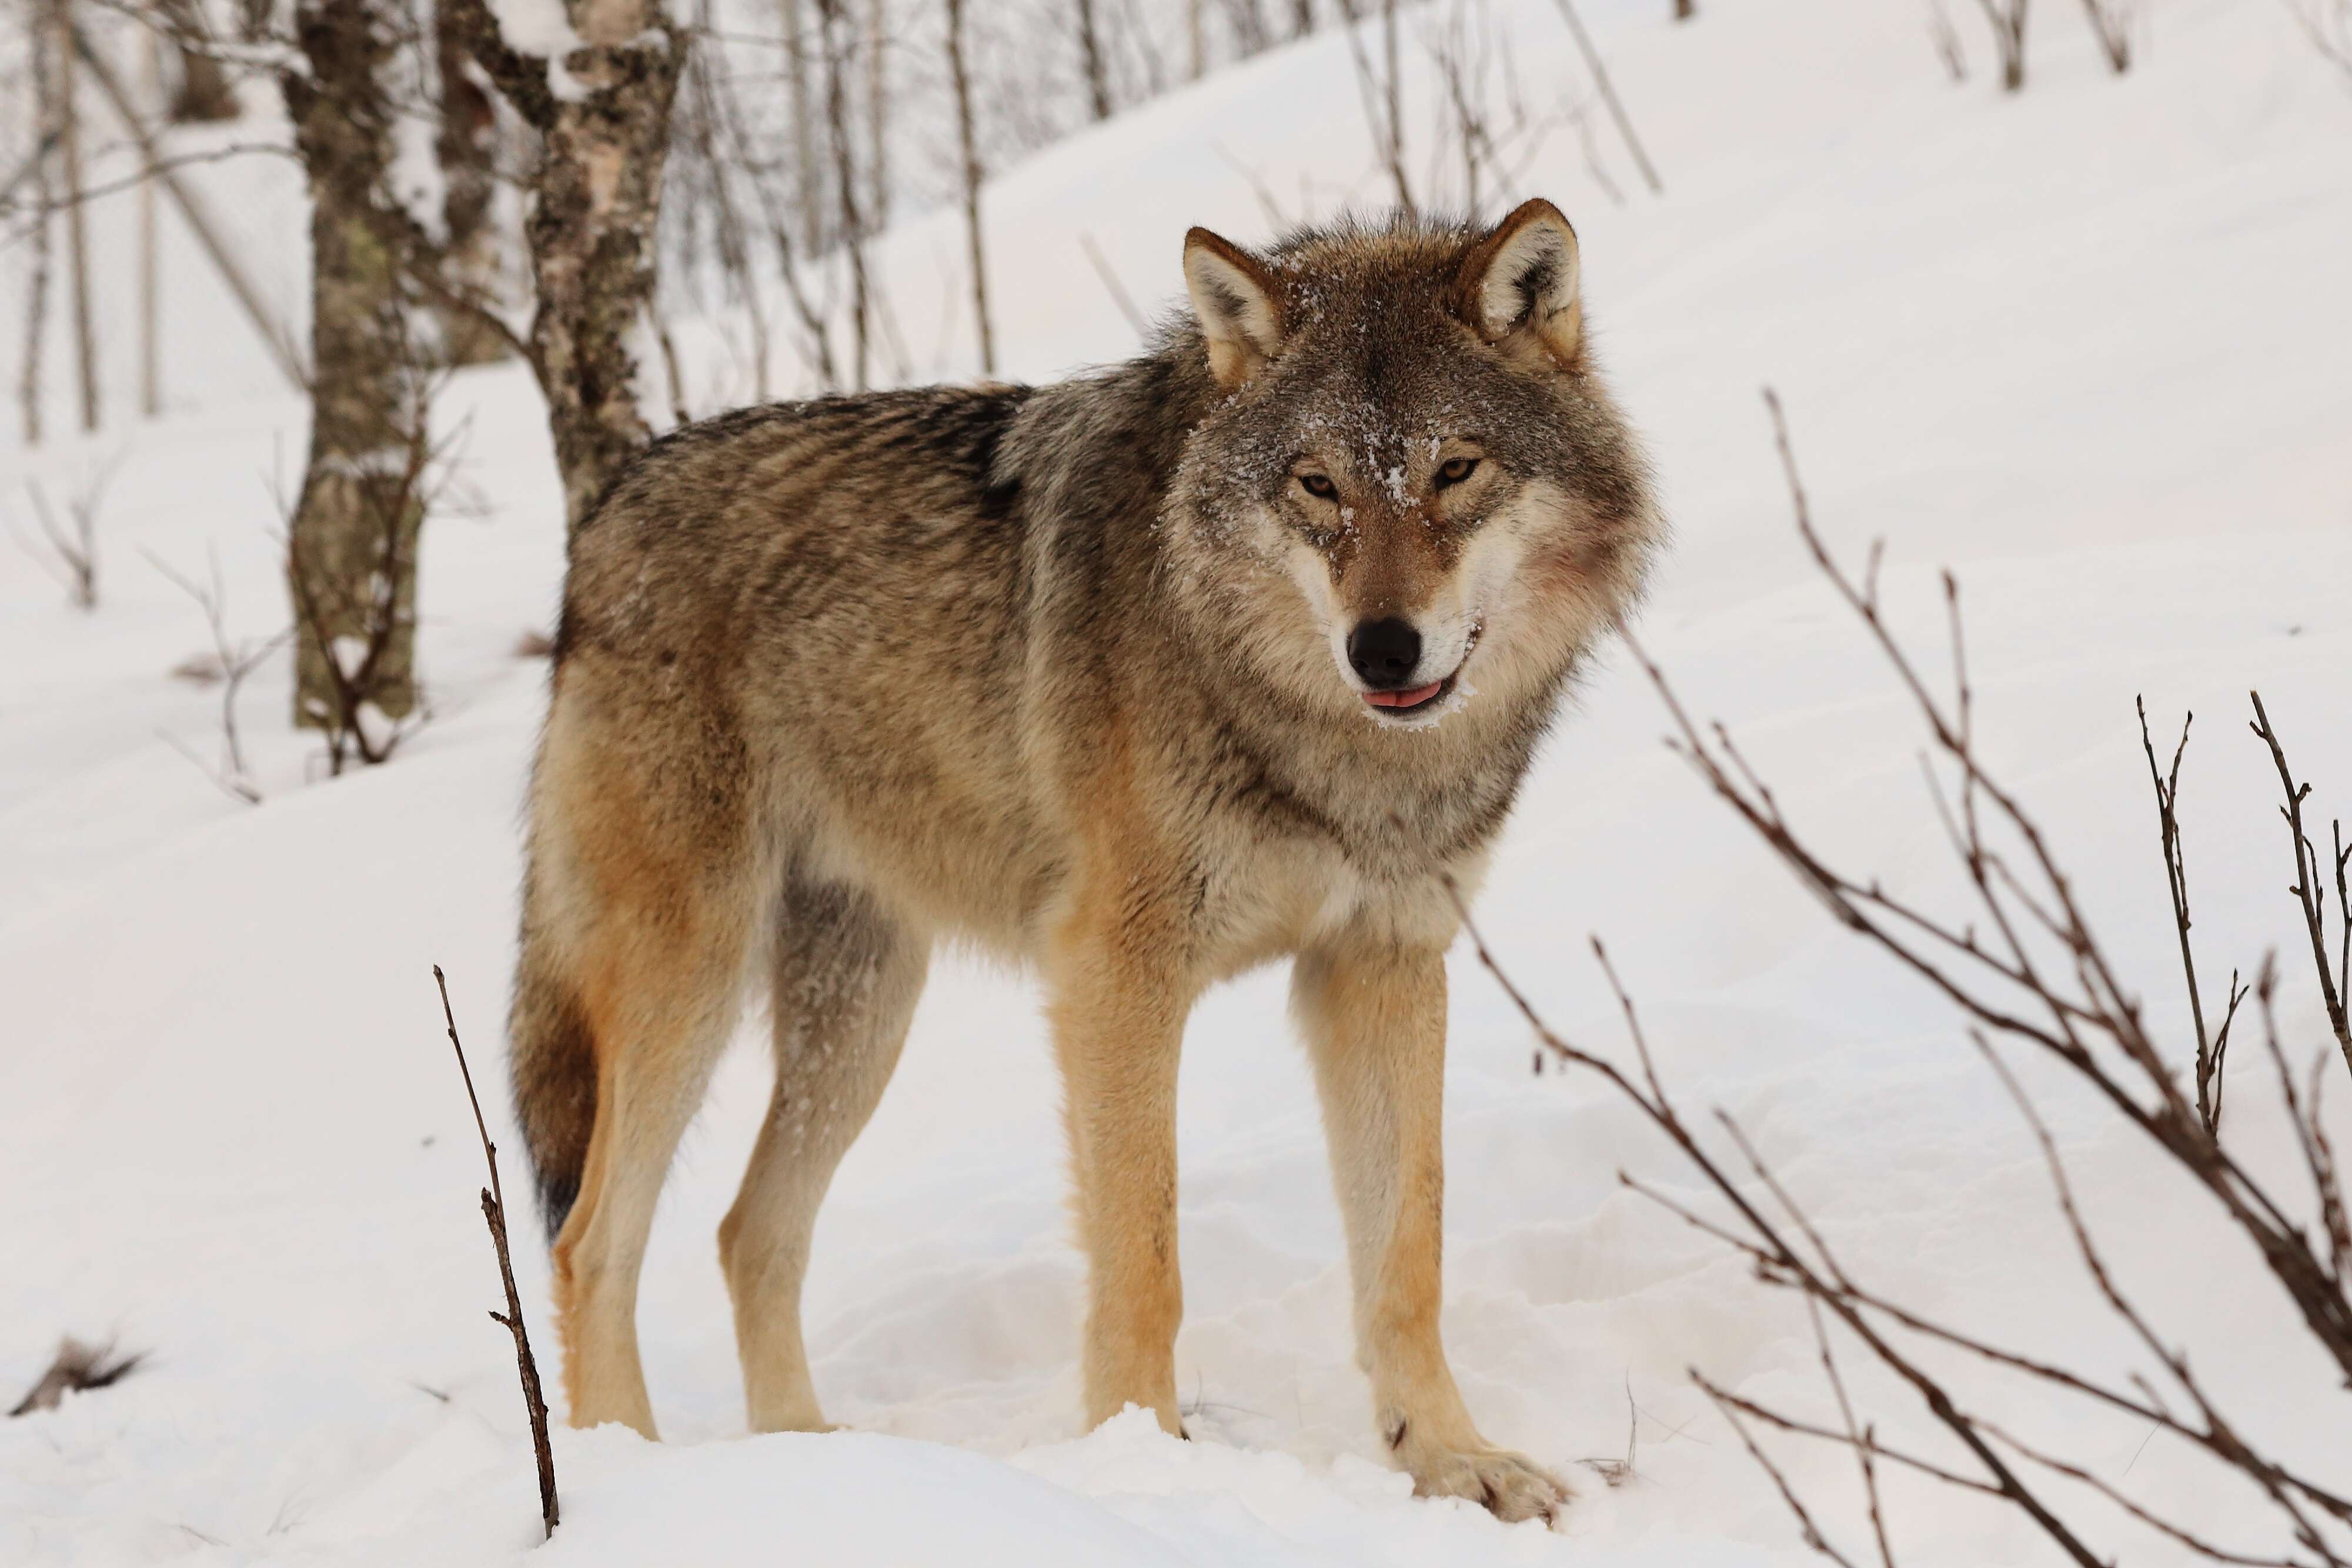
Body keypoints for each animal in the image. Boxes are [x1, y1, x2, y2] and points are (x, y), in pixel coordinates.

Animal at [508, 196, 1665, 1523]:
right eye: (1317, 485)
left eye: (1454, 469)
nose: (1382, 648)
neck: (1319, 740)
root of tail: (606, 510)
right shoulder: (1116, 974)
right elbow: (1144, 1257)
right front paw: (1143, 1465)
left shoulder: (1380, 964)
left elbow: (1405, 1251)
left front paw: (1450, 1458)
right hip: (688, 987)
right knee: (591, 1240)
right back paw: (629, 1478)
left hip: (861, 1016)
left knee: (749, 1231)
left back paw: (818, 1465)